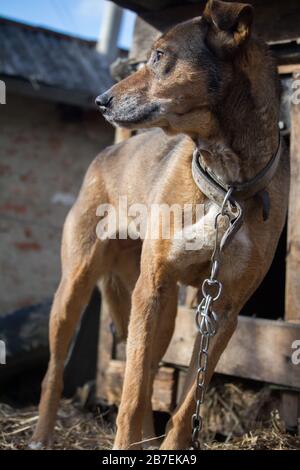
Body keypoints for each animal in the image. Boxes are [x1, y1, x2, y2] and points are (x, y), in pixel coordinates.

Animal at [30, 0, 288, 450]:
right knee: (58, 371)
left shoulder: (223, 309)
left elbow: (184, 407)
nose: (100, 100)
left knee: (151, 373)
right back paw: (42, 434)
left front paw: (169, 445)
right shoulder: (150, 289)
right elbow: (131, 396)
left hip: (163, 313)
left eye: (160, 56)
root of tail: (106, 154)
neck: (225, 182)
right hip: (80, 289)